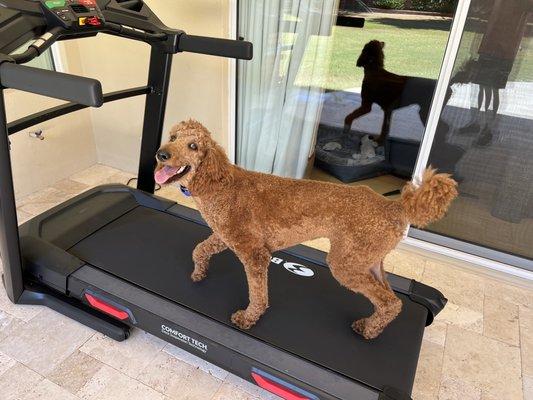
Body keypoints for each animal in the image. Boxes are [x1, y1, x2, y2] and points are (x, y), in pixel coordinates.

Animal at [155, 119, 458, 338]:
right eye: (173, 137)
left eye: (193, 146)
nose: (161, 153)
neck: (218, 183)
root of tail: (393, 206)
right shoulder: (224, 237)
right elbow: (199, 249)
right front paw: (199, 272)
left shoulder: (254, 254)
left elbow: (258, 295)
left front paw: (249, 317)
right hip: (368, 261)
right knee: (392, 301)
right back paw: (370, 324)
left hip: (345, 263)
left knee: (389, 302)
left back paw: (370, 331)